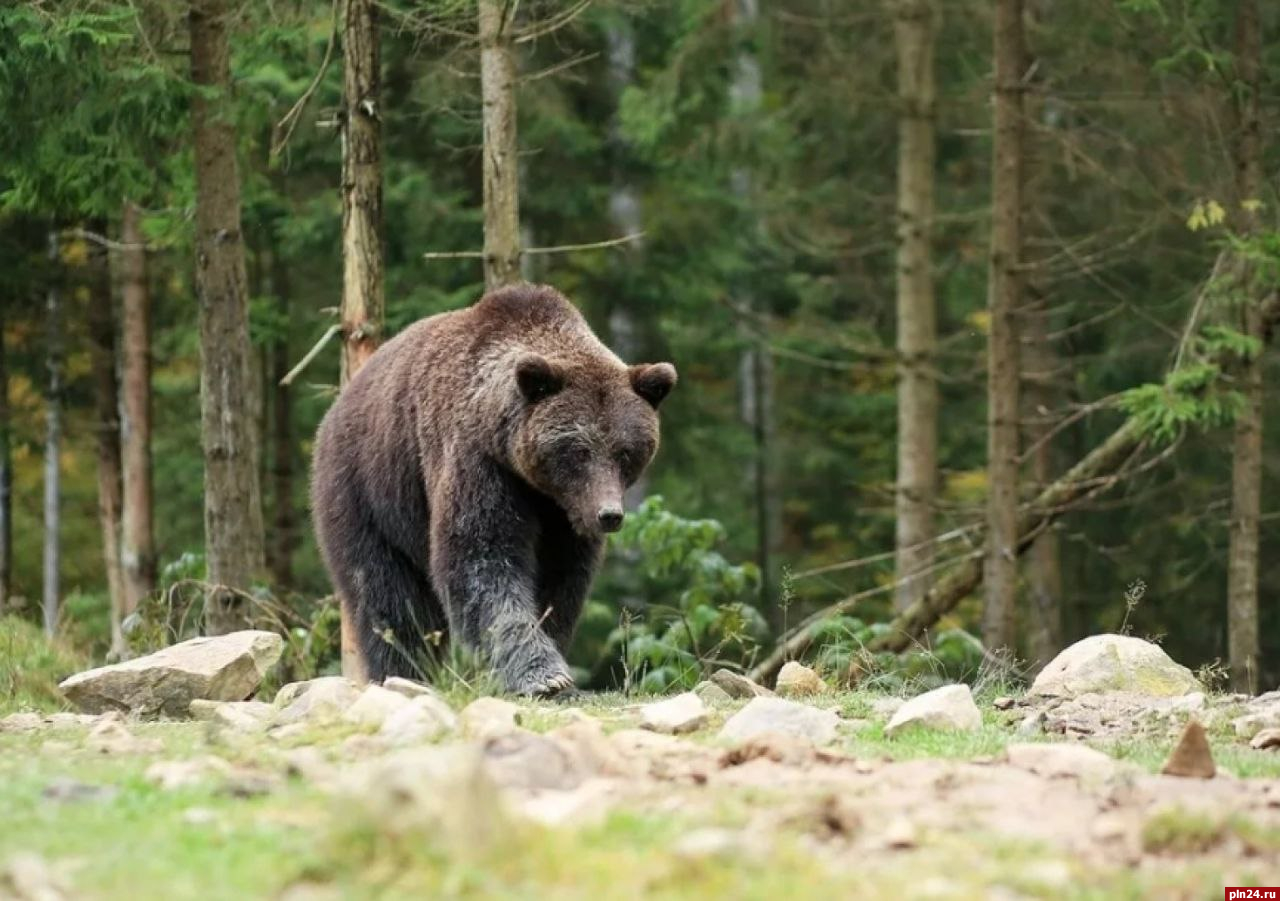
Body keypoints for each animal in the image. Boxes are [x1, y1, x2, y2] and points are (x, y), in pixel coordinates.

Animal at [308, 285, 675, 691]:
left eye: (625, 452)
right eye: (579, 450)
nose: (608, 514)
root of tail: (338, 405)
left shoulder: (562, 513)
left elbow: (560, 581)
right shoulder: (479, 463)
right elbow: (481, 557)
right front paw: (544, 676)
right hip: (368, 490)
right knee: (387, 595)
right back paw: (403, 671)